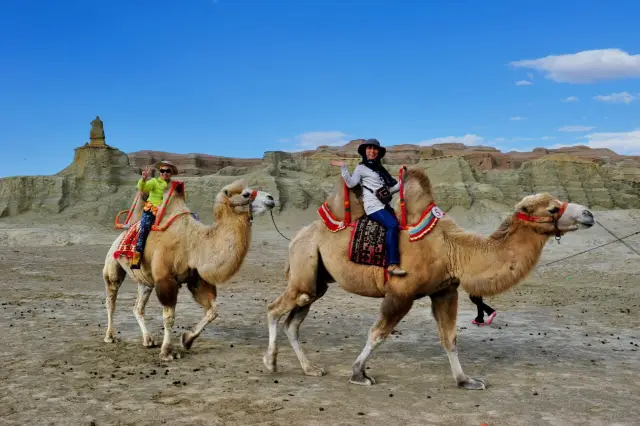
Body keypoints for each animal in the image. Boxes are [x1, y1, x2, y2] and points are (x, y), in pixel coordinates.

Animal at [103, 178, 276, 361]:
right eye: (245, 194)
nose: (271, 198)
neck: (193, 244)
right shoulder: (165, 278)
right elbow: (169, 317)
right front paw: (167, 352)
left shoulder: (197, 279)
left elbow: (212, 311)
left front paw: (186, 340)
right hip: (112, 265)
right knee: (111, 298)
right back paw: (110, 336)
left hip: (145, 280)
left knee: (137, 307)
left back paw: (148, 340)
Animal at [263, 166, 595, 389]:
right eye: (552, 208)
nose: (588, 214)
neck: (453, 250)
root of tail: (298, 236)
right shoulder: (402, 292)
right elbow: (378, 333)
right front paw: (359, 374)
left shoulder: (445, 290)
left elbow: (449, 338)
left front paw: (465, 380)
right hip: (305, 267)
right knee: (274, 309)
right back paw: (270, 363)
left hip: (317, 280)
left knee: (293, 321)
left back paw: (309, 369)